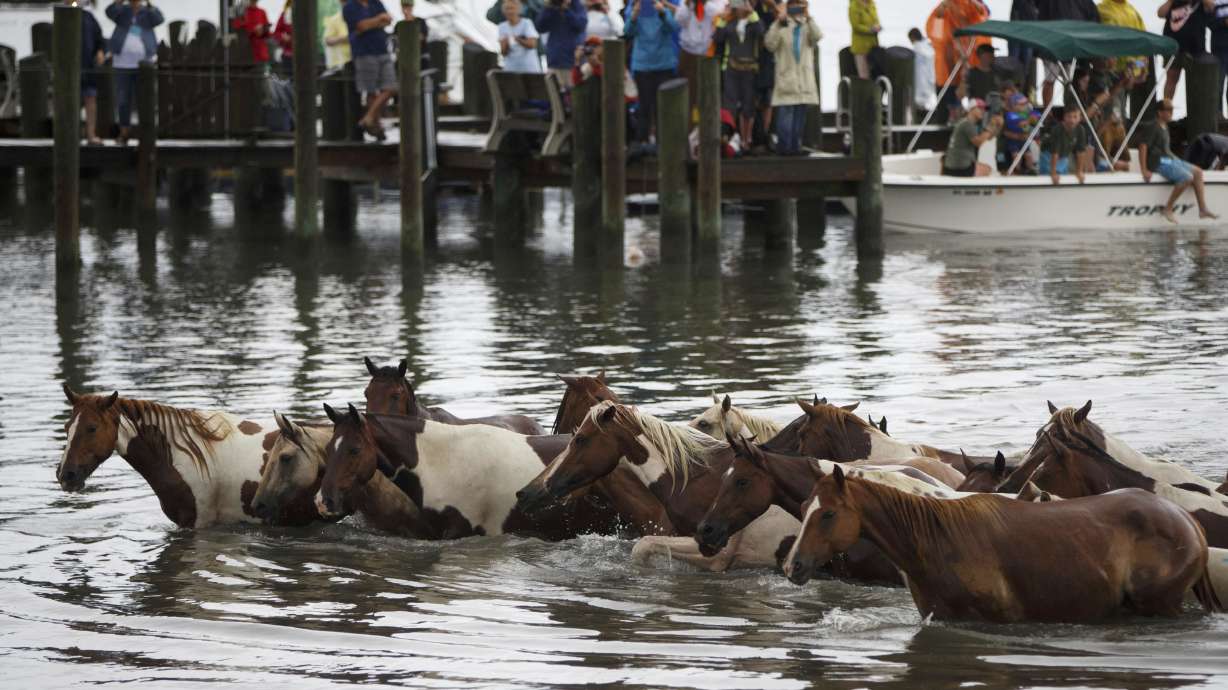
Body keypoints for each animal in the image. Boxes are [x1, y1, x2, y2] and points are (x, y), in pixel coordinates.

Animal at [784, 465, 1222, 622]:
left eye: (828, 514)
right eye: (804, 507)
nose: (793, 566)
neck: (937, 543)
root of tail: (1188, 522)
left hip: (1159, 605)